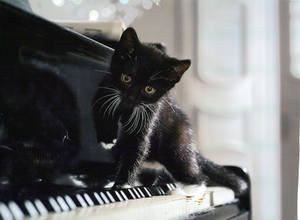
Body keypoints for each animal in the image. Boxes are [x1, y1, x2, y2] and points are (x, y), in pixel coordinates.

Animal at [93, 27, 246, 196]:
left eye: (149, 89)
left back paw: (181, 192)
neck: (126, 107)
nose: (130, 97)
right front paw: (107, 138)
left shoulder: (150, 112)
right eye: (126, 78)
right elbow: (101, 108)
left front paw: (123, 185)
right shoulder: (106, 87)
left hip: (175, 147)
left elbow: (136, 145)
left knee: (194, 175)